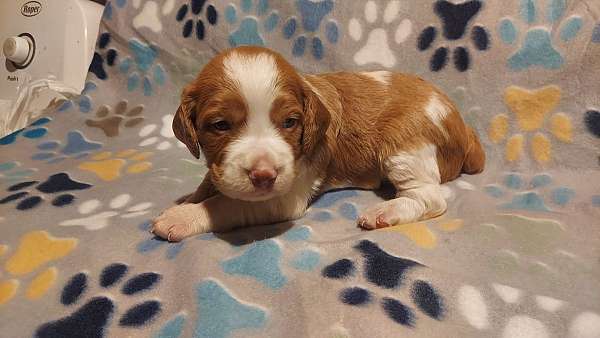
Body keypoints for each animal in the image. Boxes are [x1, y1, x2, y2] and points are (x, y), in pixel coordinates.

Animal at [152, 46, 486, 242]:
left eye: (289, 122)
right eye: (220, 125)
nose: (264, 176)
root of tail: (464, 125)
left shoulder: (284, 196)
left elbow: (228, 203)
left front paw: (182, 217)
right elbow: (210, 185)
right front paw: (190, 199)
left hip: (404, 144)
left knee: (431, 198)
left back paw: (384, 213)